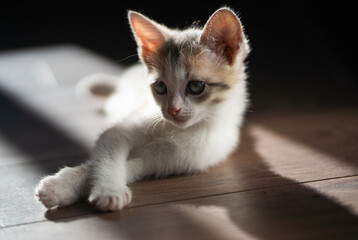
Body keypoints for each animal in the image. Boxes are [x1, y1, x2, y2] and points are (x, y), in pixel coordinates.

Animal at [35, 7, 250, 212]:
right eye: (160, 87)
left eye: (196, 86)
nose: (173, 110)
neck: (180, 131)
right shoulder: (119, 131)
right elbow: (105, 157)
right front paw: (102, 190)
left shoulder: (171, 161)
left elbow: (128, 166)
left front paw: (85, 188)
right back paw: (97, 85)